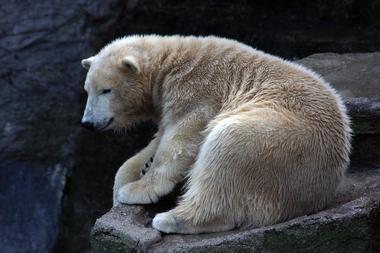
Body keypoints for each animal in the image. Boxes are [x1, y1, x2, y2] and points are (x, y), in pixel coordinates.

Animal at [80, 34, 350, 234]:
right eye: (87, 89)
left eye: (106, 90)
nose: (87, 123)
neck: (168, 63)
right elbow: (153, 144)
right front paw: (133, 175)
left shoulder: (196, 93)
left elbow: (179, 142)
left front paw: (135, 190)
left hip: (280, 140)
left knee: (226, 150)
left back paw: (172, 219)